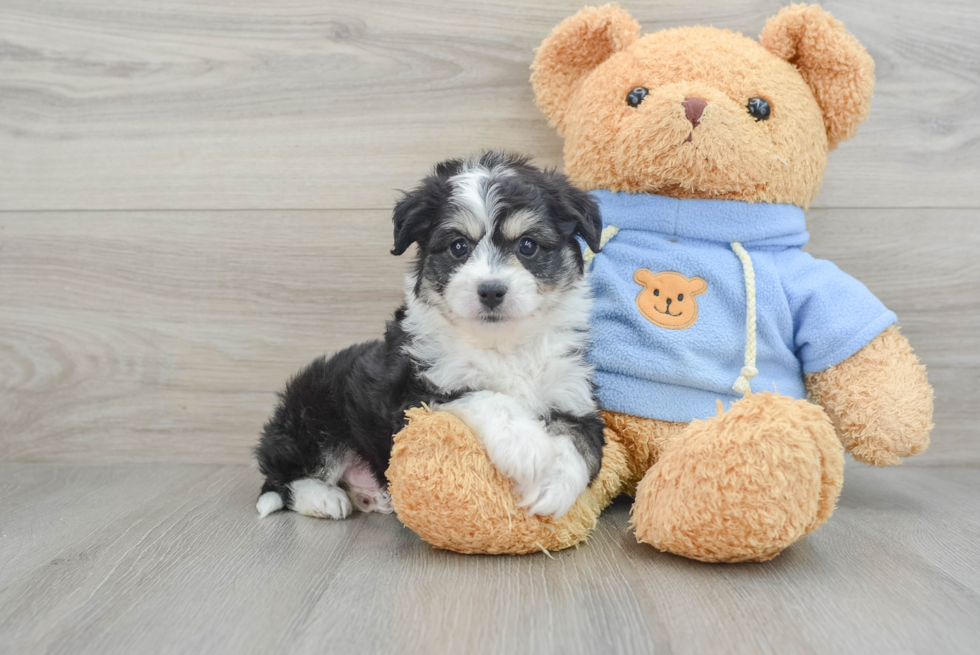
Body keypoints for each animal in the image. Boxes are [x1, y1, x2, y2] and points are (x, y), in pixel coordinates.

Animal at [255, 151, 604, 520]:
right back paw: (325, 499)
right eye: (458, 246)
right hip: (314, 414)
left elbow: (578, 443)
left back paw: (369, 496)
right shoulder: (417, 394)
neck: (501, 343)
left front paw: (553, 484)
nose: (491, 290)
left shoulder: (574, 394)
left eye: (527, 245)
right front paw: (527, 446)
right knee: (283, 479)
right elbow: (486, 396)